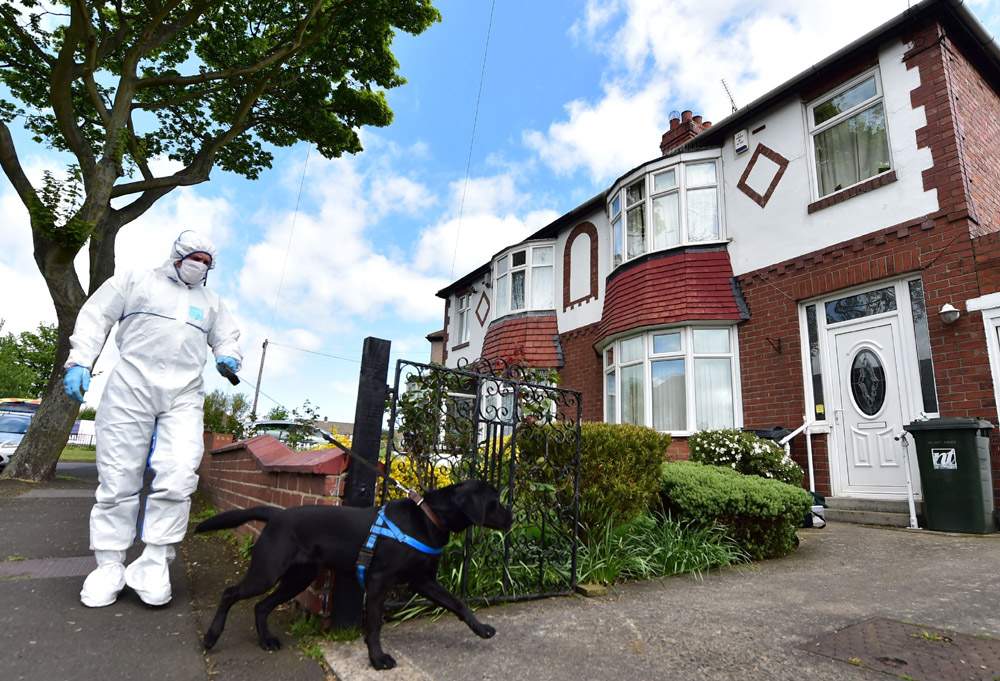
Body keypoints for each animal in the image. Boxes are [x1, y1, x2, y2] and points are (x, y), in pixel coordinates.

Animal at [194, 478, 512, 668]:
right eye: (495, 502)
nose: (512, 517)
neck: (427, 518)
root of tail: (276, 514)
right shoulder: (379, 580)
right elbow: (373, 623)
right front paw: (377, 658)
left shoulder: (423, 581)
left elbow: (458, 603)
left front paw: (481, 628)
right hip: (267, 571)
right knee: (230, 593)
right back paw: (211, 636)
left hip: (299, 577)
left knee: (261, 606)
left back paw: (266, 641)